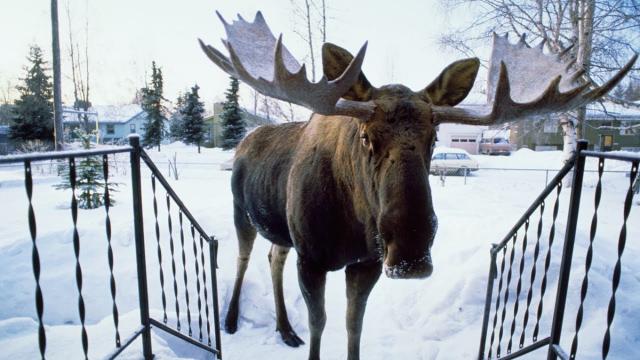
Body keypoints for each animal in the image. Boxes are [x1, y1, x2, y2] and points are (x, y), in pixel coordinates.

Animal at [201, 11, 636, 360]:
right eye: (365, 136)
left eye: (434, 136)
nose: (410, 252)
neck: (351, 224)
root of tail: (243, 143)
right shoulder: (312, 259)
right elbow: (319, 326)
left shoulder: (367, 263)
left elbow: (353, 326)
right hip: (243, 213)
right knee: (243, 256)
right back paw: (232, 319)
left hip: (281, 229)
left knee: (274, 256)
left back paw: (284, 328)